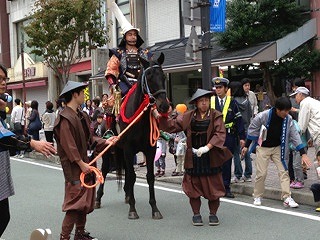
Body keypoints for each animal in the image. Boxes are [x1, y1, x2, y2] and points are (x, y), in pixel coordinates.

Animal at [117, 52, 169, 219]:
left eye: (163, 77)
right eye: (150, 78)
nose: (164, 105)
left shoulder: (150, 149)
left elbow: (150, 177)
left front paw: (154, 208)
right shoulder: (128, 148)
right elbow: (133, 176)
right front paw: (133, 209)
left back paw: (127, 195)